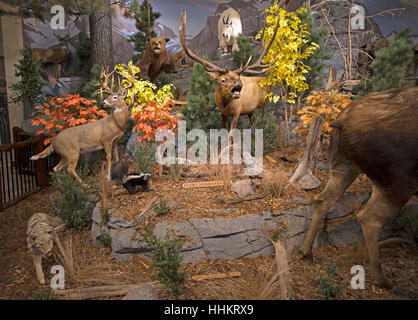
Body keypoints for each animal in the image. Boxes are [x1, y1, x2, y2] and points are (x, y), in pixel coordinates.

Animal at [298, 86, 418, 288]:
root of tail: (341, 120)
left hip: (344, 165)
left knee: (322, 200)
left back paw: (306, 251)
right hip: (398, 180)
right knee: (369, 217)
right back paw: (381, 278)